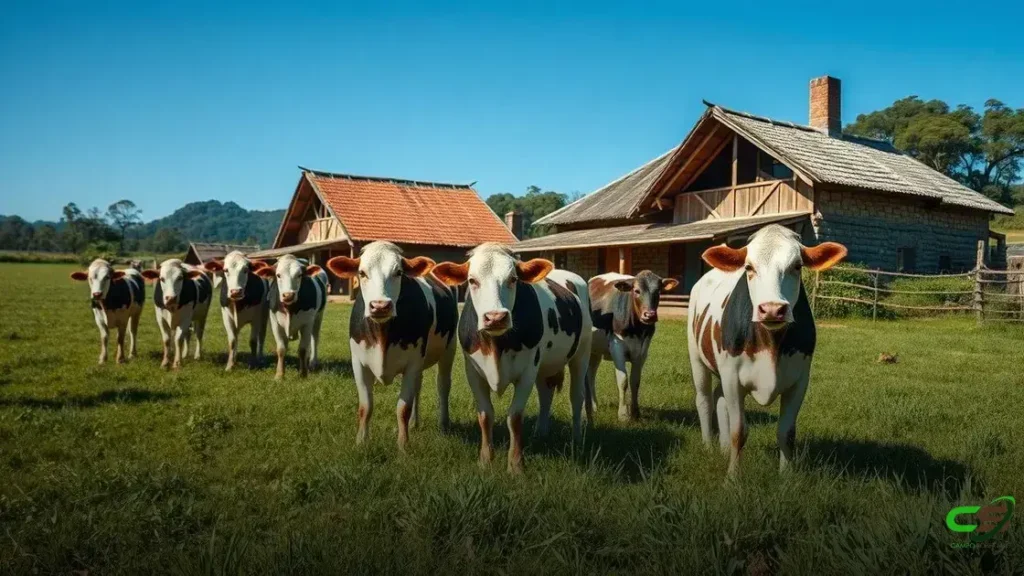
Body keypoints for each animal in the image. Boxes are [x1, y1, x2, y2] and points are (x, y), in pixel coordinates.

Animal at [325, 242, 458, 450]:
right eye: (362, 272)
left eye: (398, 272)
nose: (380, 306)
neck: (382, 335)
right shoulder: (358, 363)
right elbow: (365, 406)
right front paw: (361, 441)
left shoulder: (412, 364)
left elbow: (403, 408)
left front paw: (403, 446)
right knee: (419, 386)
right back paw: (414, 423)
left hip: (449, 348)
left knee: (443, 385)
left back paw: (443, 424)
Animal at [433, 244, 592, 473]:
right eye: (472, 280)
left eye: (513, 279)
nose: (495, 317)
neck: (496, 346)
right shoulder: (473, 372)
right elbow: (485, 415)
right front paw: (485, 460)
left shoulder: (527, 371)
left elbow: (515, 417)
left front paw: (516, 465)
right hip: (545, 365)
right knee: (546, 393)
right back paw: (541, 432)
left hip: (581, 355)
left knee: (576, 396)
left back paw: (577, 438)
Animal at [587, 270, 679, 421]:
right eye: (636, 291)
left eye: (658, 291)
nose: (649, 315)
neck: (637, 330)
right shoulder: (617, 348)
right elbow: (623, 380)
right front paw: (623, 414)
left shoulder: (642, 352)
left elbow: (635, 381)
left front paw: (635, 413)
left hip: (596, 351)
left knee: (591, 374)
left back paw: (594, 405)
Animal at [687, 224, 846, 476]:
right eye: (749, 267)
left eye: (797, 266)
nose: (772, 309)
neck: (770, 343)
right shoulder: (733, 378)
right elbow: (739, 431)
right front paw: (732, 477)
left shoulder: (799, 381)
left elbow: (786, 433)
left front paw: (786, 476)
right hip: (697, 359)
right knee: (704, 400)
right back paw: (708, 446)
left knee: (719, 399)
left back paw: (723, 448)